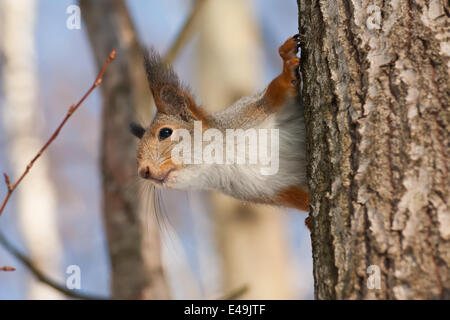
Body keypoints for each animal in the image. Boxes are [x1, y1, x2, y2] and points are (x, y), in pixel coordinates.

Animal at [130, 35, 310, 218]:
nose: (143, 172)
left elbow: (278, 88)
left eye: (165, 132)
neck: (225, 158)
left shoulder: (257, 110)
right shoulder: (280, 192)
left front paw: (287, 61)